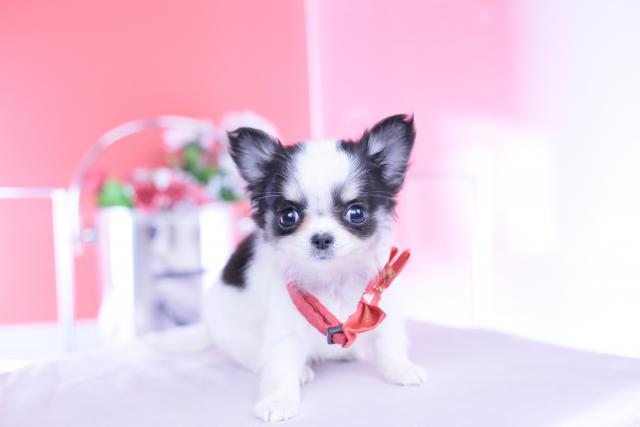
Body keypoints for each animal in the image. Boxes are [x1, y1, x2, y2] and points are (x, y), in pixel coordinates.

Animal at [154, 114, 426, 422]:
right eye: (288, 216)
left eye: (356, 213)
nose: (321, 238)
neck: (332, 278)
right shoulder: (284, 326)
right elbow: (280, 366)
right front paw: (279, 400)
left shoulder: (380, 304)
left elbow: (389, 341)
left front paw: (401, 369)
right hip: (234, 335)